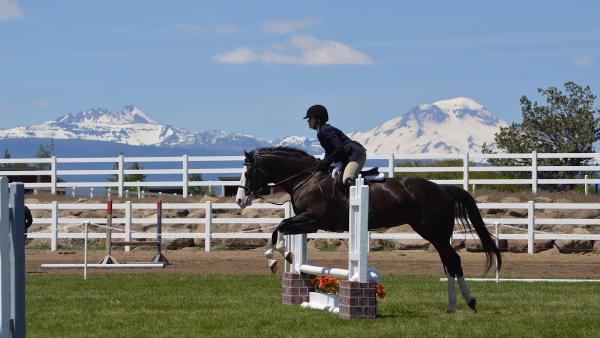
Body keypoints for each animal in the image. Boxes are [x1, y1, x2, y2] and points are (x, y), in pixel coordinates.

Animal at [236, 147, 502, 312]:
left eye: (248, 172)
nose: (240, 200)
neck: (306, 178)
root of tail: (443, 189)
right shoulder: (306, 221)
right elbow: (280, 230)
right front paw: (284, 256)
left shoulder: (314, 220)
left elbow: (279, 228)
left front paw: (277, 257)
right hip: (432, 234)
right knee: (448, 262)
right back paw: (452, 305)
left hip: (435, 232)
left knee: (453, 260)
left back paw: (470, 301)